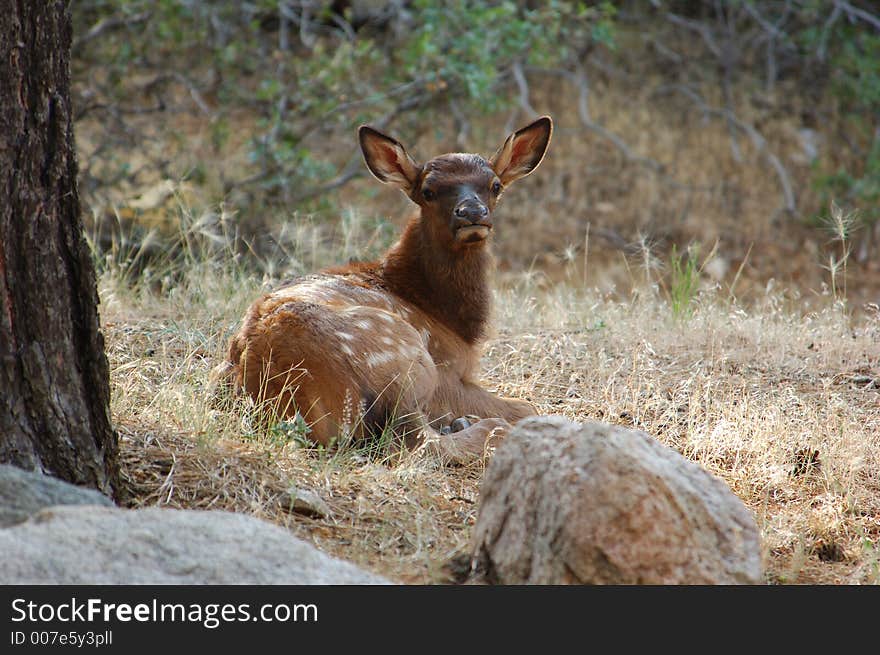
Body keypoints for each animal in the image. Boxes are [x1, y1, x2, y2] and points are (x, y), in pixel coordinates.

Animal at [212, 119, 552, 466]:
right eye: (428, 191)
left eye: (495, 185)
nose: (471, 211)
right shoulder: (447, 374)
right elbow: (526, 405)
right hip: (407, 360)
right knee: (414, 442)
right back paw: (476, 427)